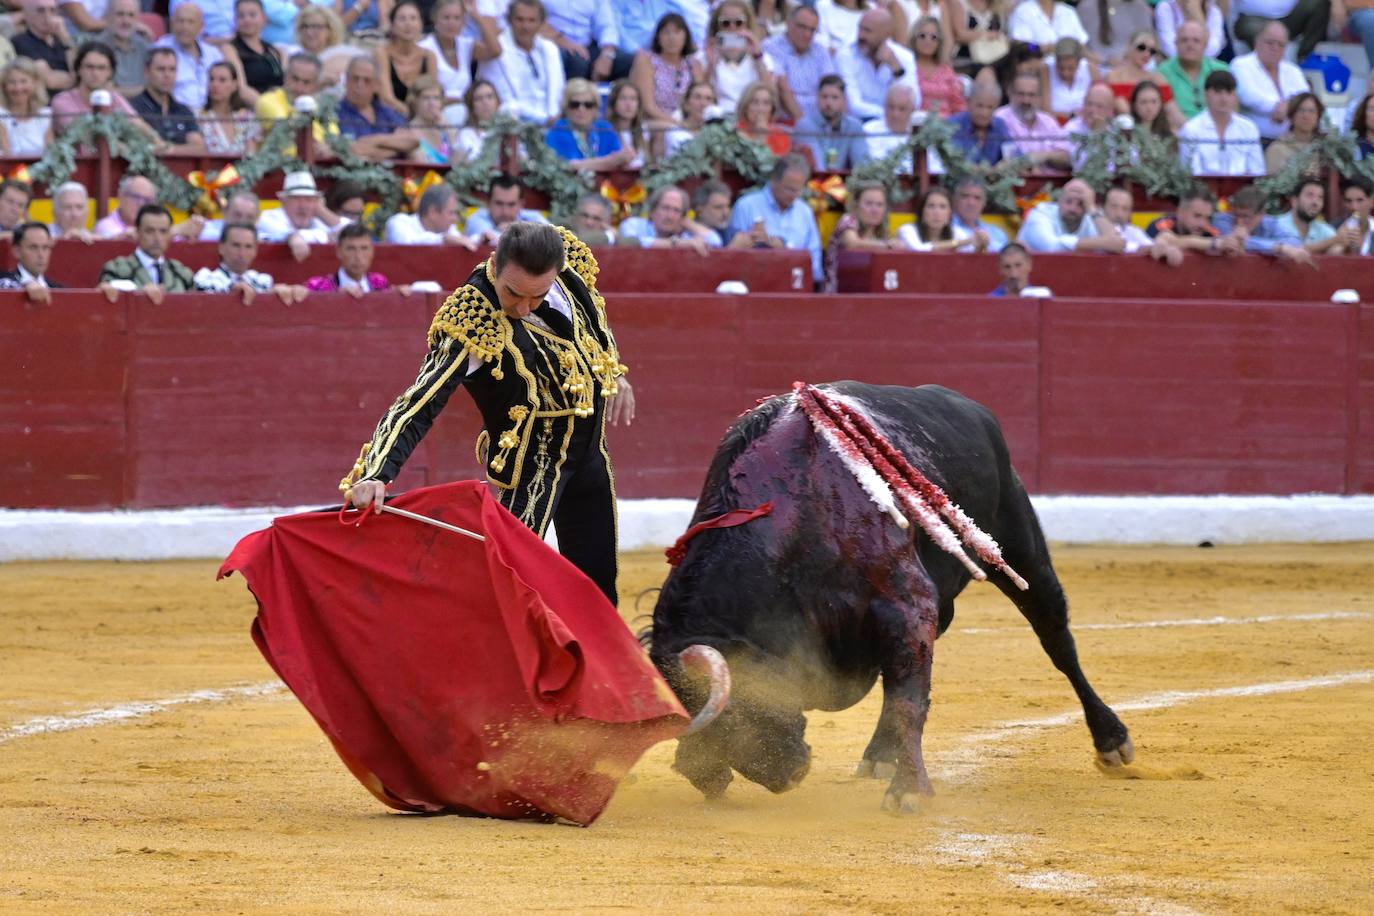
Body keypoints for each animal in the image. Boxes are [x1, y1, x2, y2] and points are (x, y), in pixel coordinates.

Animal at [648, 384, 1132, 813]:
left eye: (734, 712)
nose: (786, 776)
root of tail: (970, 407)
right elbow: (901, 688)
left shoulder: (909, 604)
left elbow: (907, 702)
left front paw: (909, 791)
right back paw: (879, 754)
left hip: (1016, 546)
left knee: (1056, 638)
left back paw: (1111, 740)